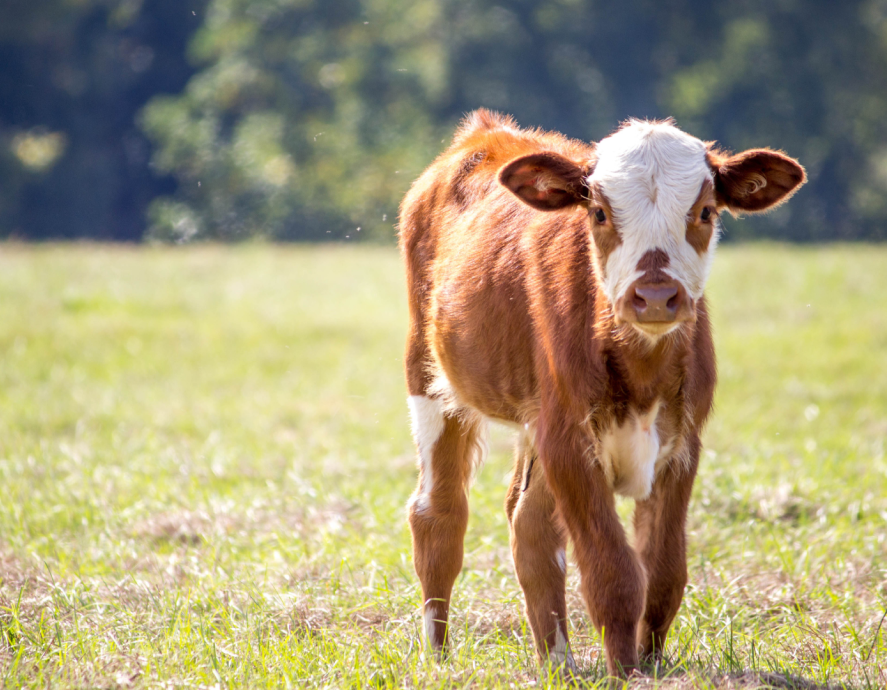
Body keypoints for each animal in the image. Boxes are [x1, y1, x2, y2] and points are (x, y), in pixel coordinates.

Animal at [398, 109, 805, 678]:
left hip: (535, 421)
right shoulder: (569, 440)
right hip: (430, 375)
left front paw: (650, 665)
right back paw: (438, 657)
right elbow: (612, 571)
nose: (654, 296)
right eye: (598, 211)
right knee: (439, 515)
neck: (642, 369)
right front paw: (626, 672)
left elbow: (663, 571)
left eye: (704, 211)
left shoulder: (682, 442)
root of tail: (487, 132)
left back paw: (558, 662)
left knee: (529, 524)